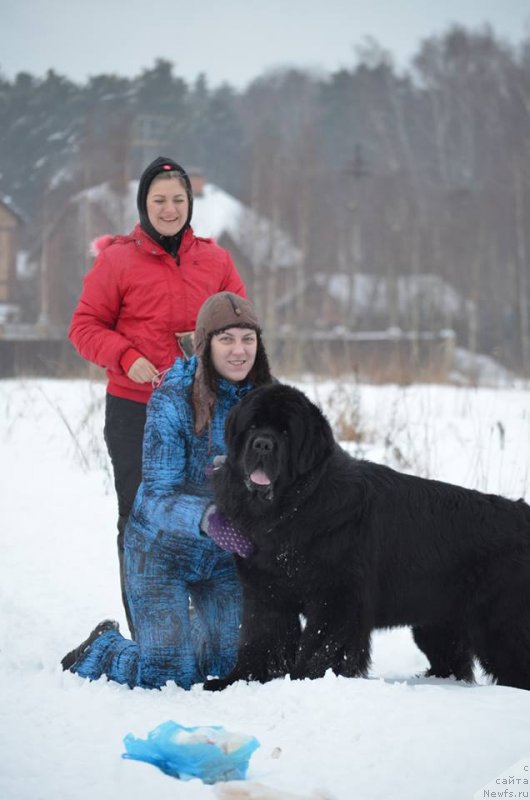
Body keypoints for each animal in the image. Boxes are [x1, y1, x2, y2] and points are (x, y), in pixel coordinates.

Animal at [202, 384, 528, 692]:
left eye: (285, 431)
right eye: (253, 426)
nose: (263, 444)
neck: (292, 509)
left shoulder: (337, 597)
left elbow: (321, 645)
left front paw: (305, 680)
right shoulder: (267, 593)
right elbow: (261, 638)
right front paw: (235, 680)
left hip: (500, 627)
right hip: (438, 622)